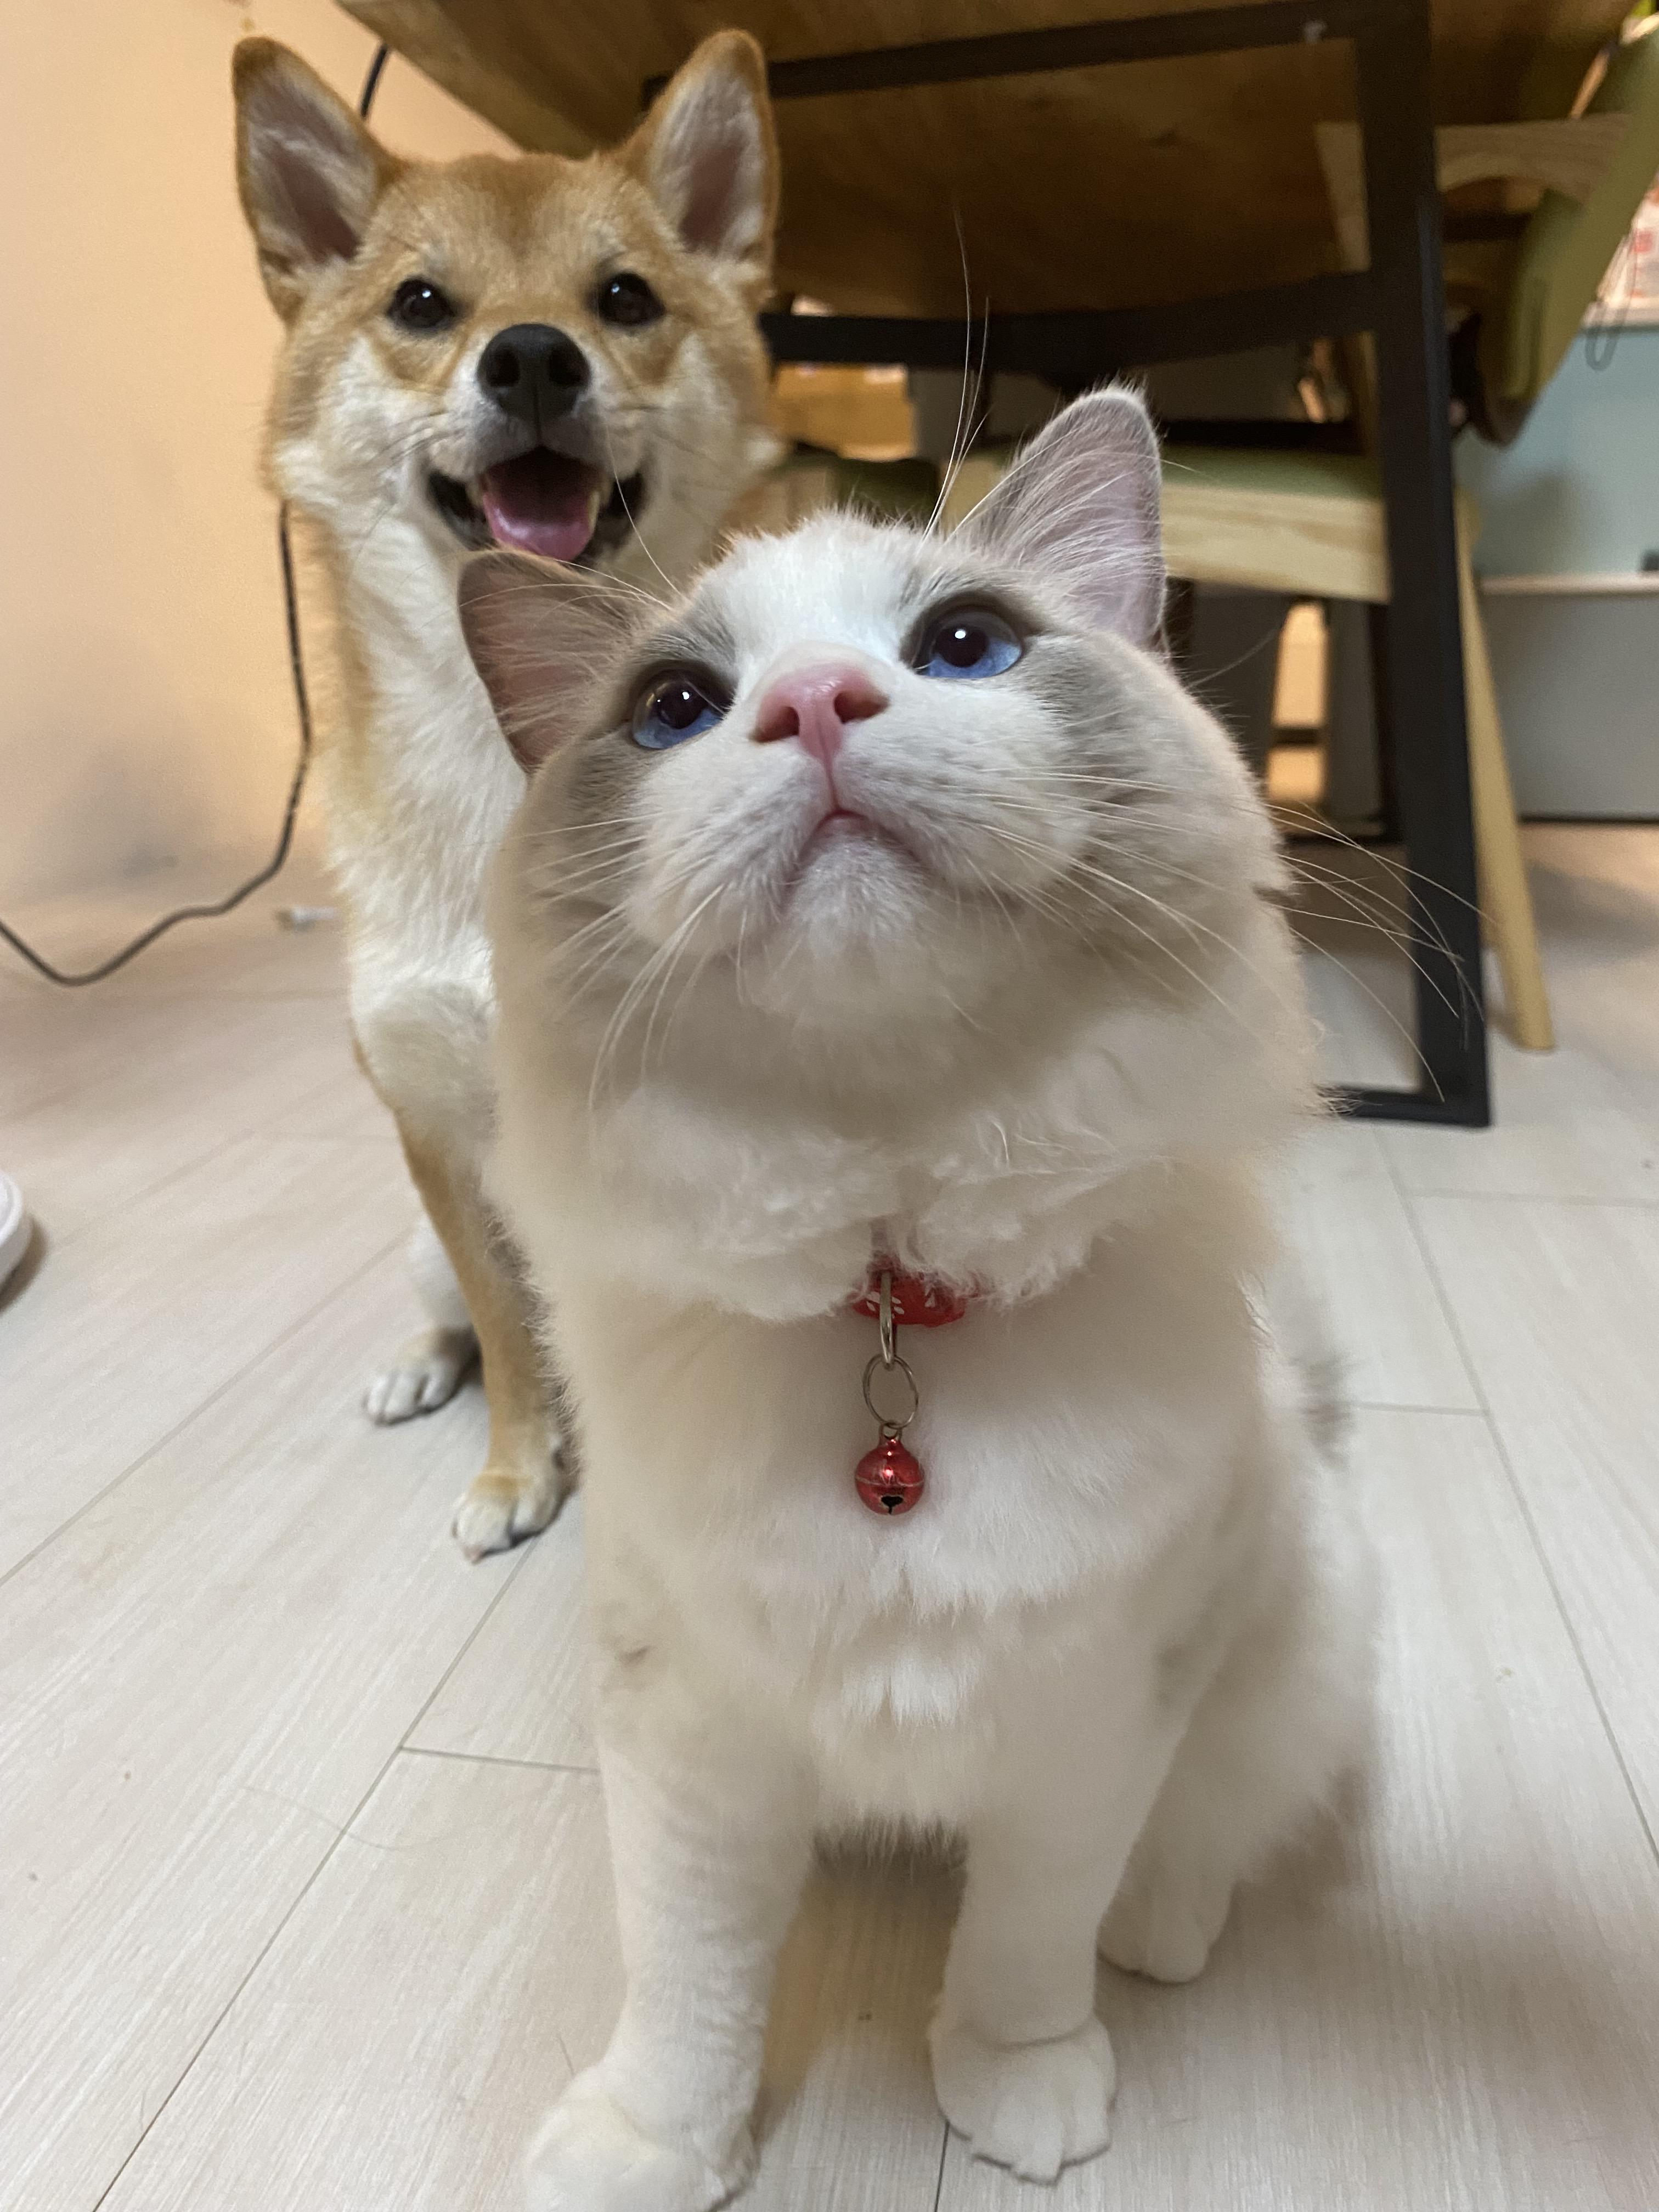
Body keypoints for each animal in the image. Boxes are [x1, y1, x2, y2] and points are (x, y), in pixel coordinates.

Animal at [233, 31, 781, 1556]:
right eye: (422, 304)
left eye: (624, 297)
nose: (533, 355)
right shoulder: (432, 1122)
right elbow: (508, 1327)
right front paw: (520, 1468)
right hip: (421, 1231)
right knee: (456, 1314)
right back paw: (421, 1370)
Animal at [461, 386, 1376, 2208]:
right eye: (677, 710)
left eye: (965, 648)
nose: (815, 704)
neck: (894, 1302)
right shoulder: (688, 1728)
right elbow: (688, 1982)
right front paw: (652, 2149)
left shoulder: (1092, 1720)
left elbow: (1025, 1945)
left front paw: (1017, 2094)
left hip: (1283, 1631)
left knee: (1208, 1839)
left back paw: (1163, 1937)